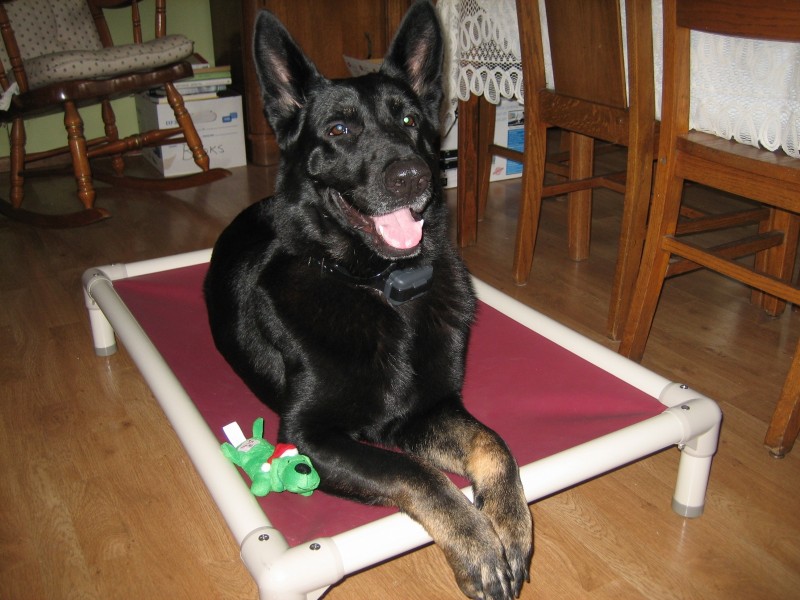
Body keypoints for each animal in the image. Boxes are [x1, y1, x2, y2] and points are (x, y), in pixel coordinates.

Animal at [205, 2, 532, 596]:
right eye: (339, 129)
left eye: (409, 122)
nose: (413, 175)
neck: (382, 289)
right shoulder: (309, 436)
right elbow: (415, 472)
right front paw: (476, 544)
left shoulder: (427, 410)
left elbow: (494, 447)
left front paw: (510, 525)